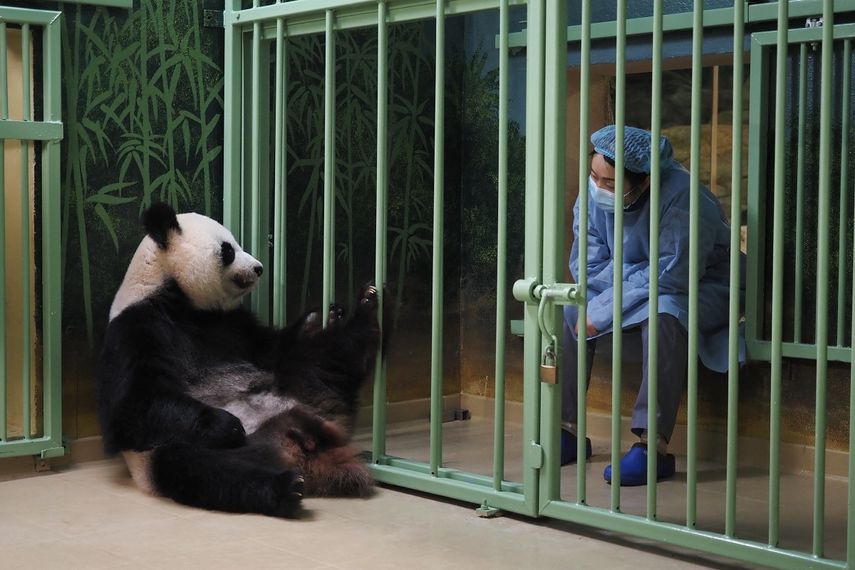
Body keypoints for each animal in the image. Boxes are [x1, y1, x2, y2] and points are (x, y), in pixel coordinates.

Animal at [97, 203, 381, 518]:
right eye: (228, 249)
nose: (258, 267)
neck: (176, 298)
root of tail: (295, 448)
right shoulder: (136, 328)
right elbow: (130, 407)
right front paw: (227, 424)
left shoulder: (230, 323)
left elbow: (272, 349)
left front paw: (318, 317)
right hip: (170, 452)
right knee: (205, 470)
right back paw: (284, 489)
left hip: (299, 387)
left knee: (324, 358)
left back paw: (366, 309)